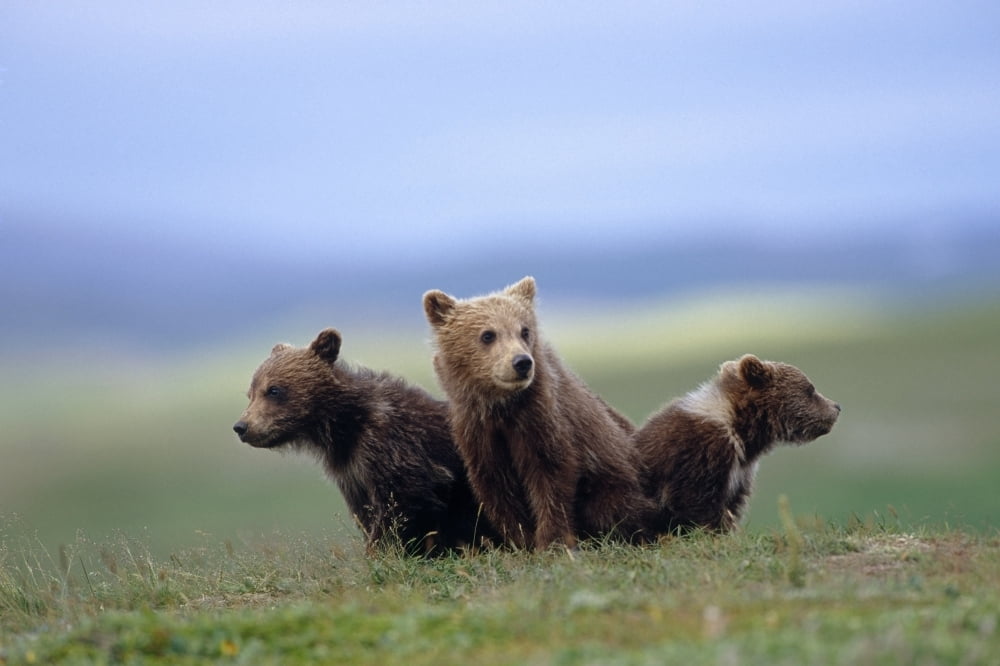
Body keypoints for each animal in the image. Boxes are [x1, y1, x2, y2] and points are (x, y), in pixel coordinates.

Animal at [232, 328, 496, 556]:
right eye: (250, 393)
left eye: (274, 390)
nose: (241, 427)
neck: (344, 427)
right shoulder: (352, 471)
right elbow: (366, 513)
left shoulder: (394, 447)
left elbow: (401, 504)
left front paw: (383, 552)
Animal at [423, 276, 655, 550]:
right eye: (488, 335)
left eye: (524, 330)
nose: (522, 362)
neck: (502, 408)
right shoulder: (478, 433)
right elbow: (497, 488)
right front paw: (521, 540)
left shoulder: (542, 422)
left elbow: (550, 477)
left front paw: (551, 540)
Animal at [634, 354, 841, 534]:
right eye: (810, 389)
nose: (837, 406)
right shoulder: (699, 454)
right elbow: (696, 501)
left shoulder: (741, 472)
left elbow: (732, 503)